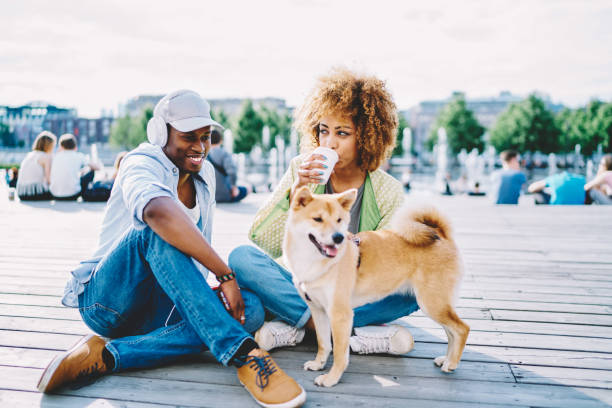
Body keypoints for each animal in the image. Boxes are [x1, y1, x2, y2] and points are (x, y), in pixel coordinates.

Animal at [282, 186, 468, 388]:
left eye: (339, 220)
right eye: (317, 219)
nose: (339, 237)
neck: (314, 260)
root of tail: (441, 235)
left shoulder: (340, 315)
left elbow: (339, 353)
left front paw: (332, 378)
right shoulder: (318, 310)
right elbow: (324, 344)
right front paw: (318, 364)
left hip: (432, 303)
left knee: (461, 329)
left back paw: (452, 363)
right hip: (437, 305)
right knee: (451, 332)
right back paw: (446, 360)